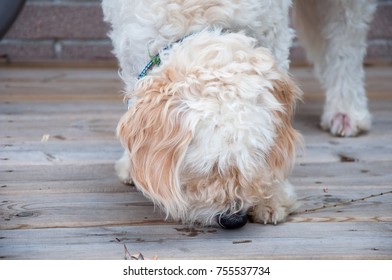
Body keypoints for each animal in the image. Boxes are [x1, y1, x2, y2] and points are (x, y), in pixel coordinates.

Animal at [103, 0, 376, 228]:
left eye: (256, 159)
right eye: (206, 168)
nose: (234, 219)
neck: (199, 14)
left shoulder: (273, 33)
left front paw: (273, 196)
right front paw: (131, 163)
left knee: (346, 42)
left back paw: (347, 111)